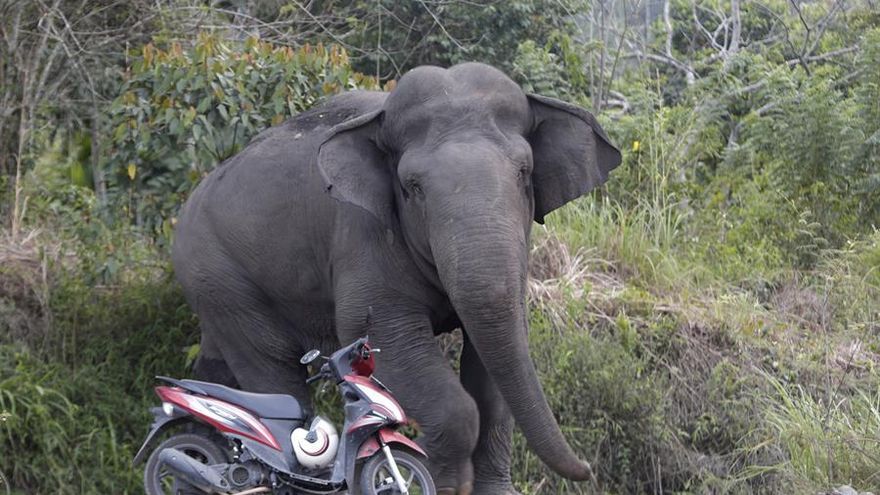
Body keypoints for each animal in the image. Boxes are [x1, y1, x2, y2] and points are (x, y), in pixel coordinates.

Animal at [171, 62, 621, 495]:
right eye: (412, 187)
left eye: (524, 171)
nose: (586, 470)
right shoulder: (362, 235)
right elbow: (383, 336)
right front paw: (447, 486)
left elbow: (494, 368)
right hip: (221, 281)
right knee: (275, 378)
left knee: (220, 370)